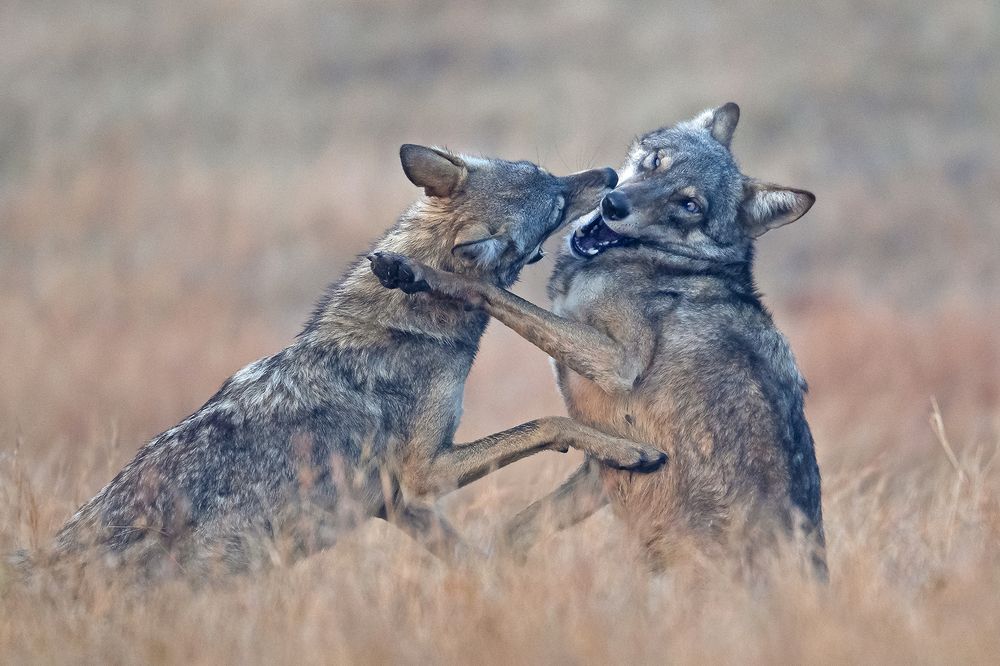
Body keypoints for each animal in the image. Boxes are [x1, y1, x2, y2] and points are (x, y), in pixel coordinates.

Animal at [50, 144, 665, 578]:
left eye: (546, 170)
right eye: (556, 201)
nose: (609, 175)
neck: (409, 324)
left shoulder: (397, 504)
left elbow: (473, 560)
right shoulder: (423, 475)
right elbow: (549, 422)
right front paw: (632, 452)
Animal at [371, 106, 827, 578]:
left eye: (688, 205)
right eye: (655, 162)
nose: (614, 204)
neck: (667, 265)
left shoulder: (618, 363)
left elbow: (490, 290)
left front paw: (422, 273)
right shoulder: (599, 474)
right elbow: (514, 529)